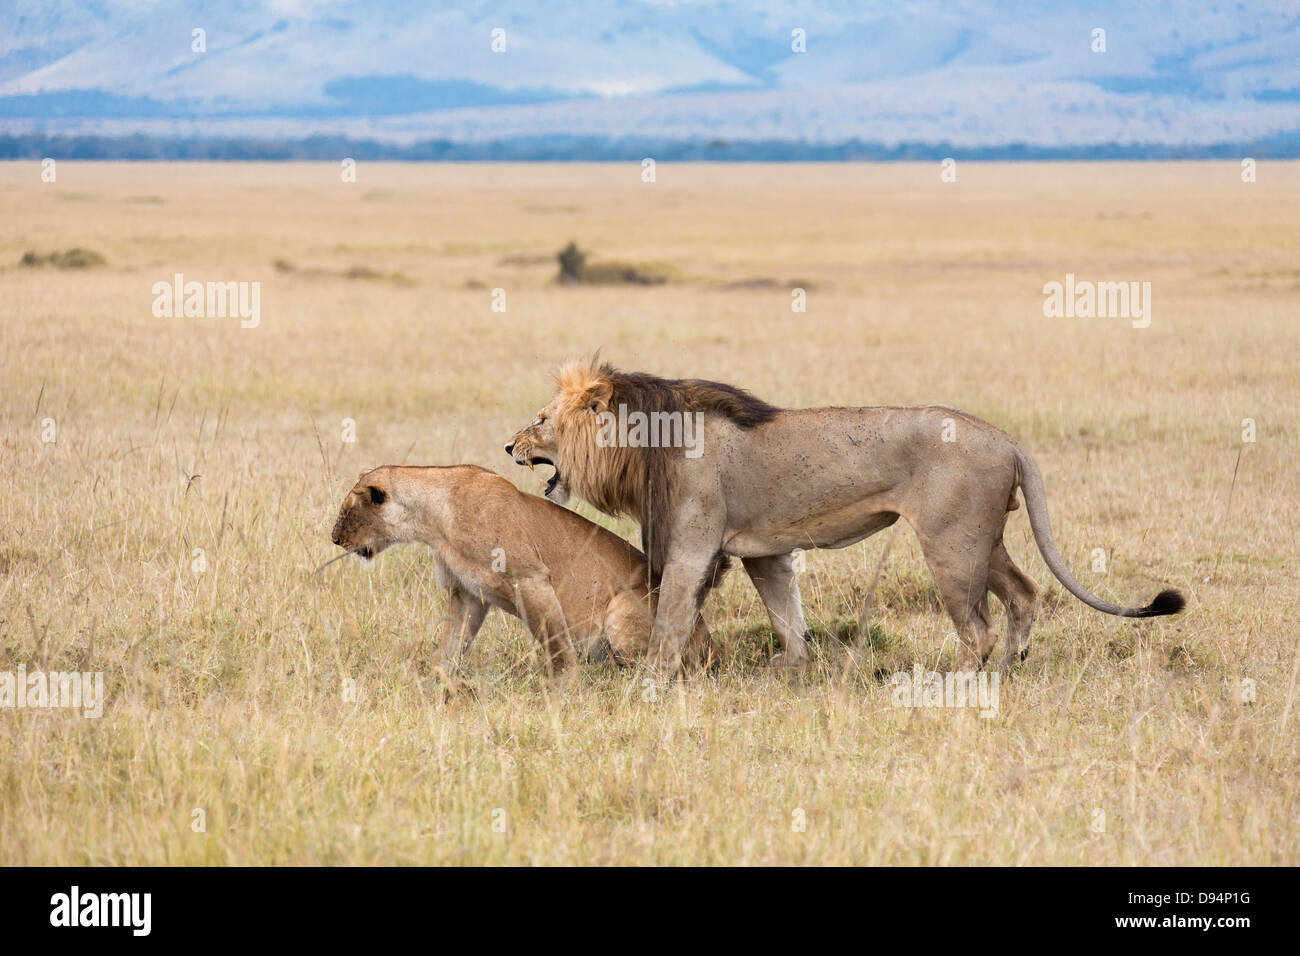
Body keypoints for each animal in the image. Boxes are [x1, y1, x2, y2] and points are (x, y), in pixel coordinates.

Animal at [330, 464, 716, 675]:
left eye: (346, 512)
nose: (334, 539)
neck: (433, 521)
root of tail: (711, 644)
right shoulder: (468, 594)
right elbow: (450, 645)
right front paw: (437, 682)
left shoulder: (530, 578)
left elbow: (556, 645)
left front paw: (563, 687)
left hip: (623, 607)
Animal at [506, 359, 1184, 676]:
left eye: (541, 419)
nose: (509, 446)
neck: (641, 443)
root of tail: (1007, 438)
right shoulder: (764, 551)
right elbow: (786, 616)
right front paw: (792, 672)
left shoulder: (694, 542)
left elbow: (672, 614)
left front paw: (651, 680)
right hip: (982, 540)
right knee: (1023, 593)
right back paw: (1010, 669)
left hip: (950, 543)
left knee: (978, 628)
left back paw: (961, 682)